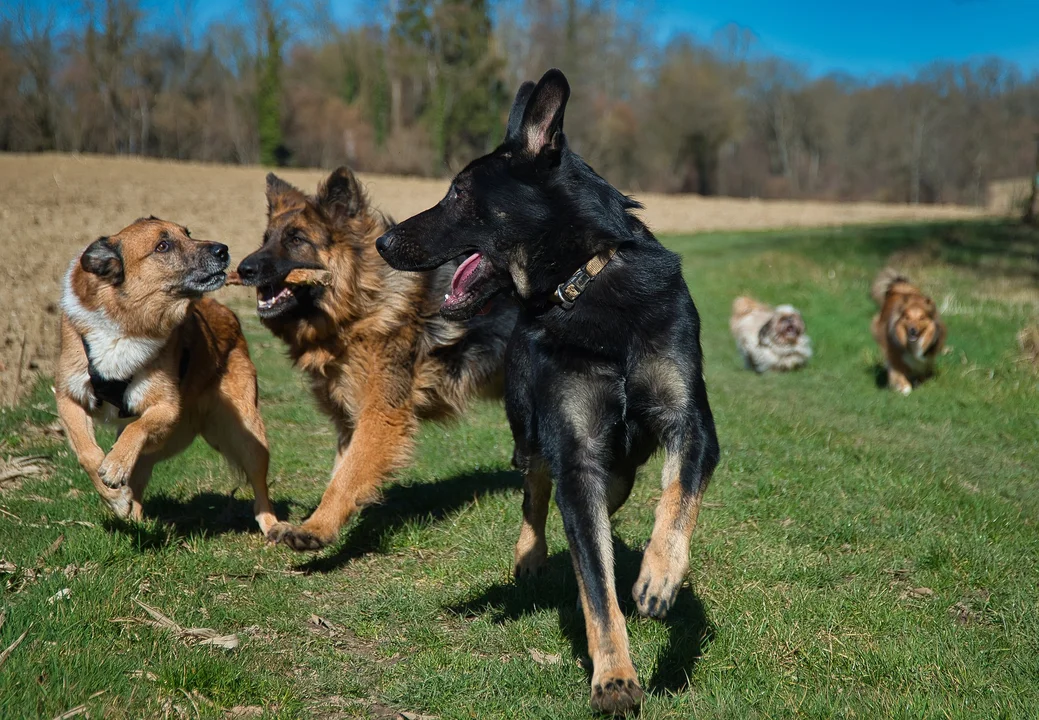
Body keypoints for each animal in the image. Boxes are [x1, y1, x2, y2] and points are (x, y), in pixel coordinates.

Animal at [55, 216, 276, 529]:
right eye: (162, 246)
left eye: (188, 233)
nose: (223, 250)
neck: (126, 322)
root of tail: (228, 315)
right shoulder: (69, 397)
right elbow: (87, 454)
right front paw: (114, 497)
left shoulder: (167, 407)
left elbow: (137, 428)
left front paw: (116, 465)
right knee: (137, 478)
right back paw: (132, 514)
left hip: (248, 433)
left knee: (259, 486)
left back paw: (273, 526)